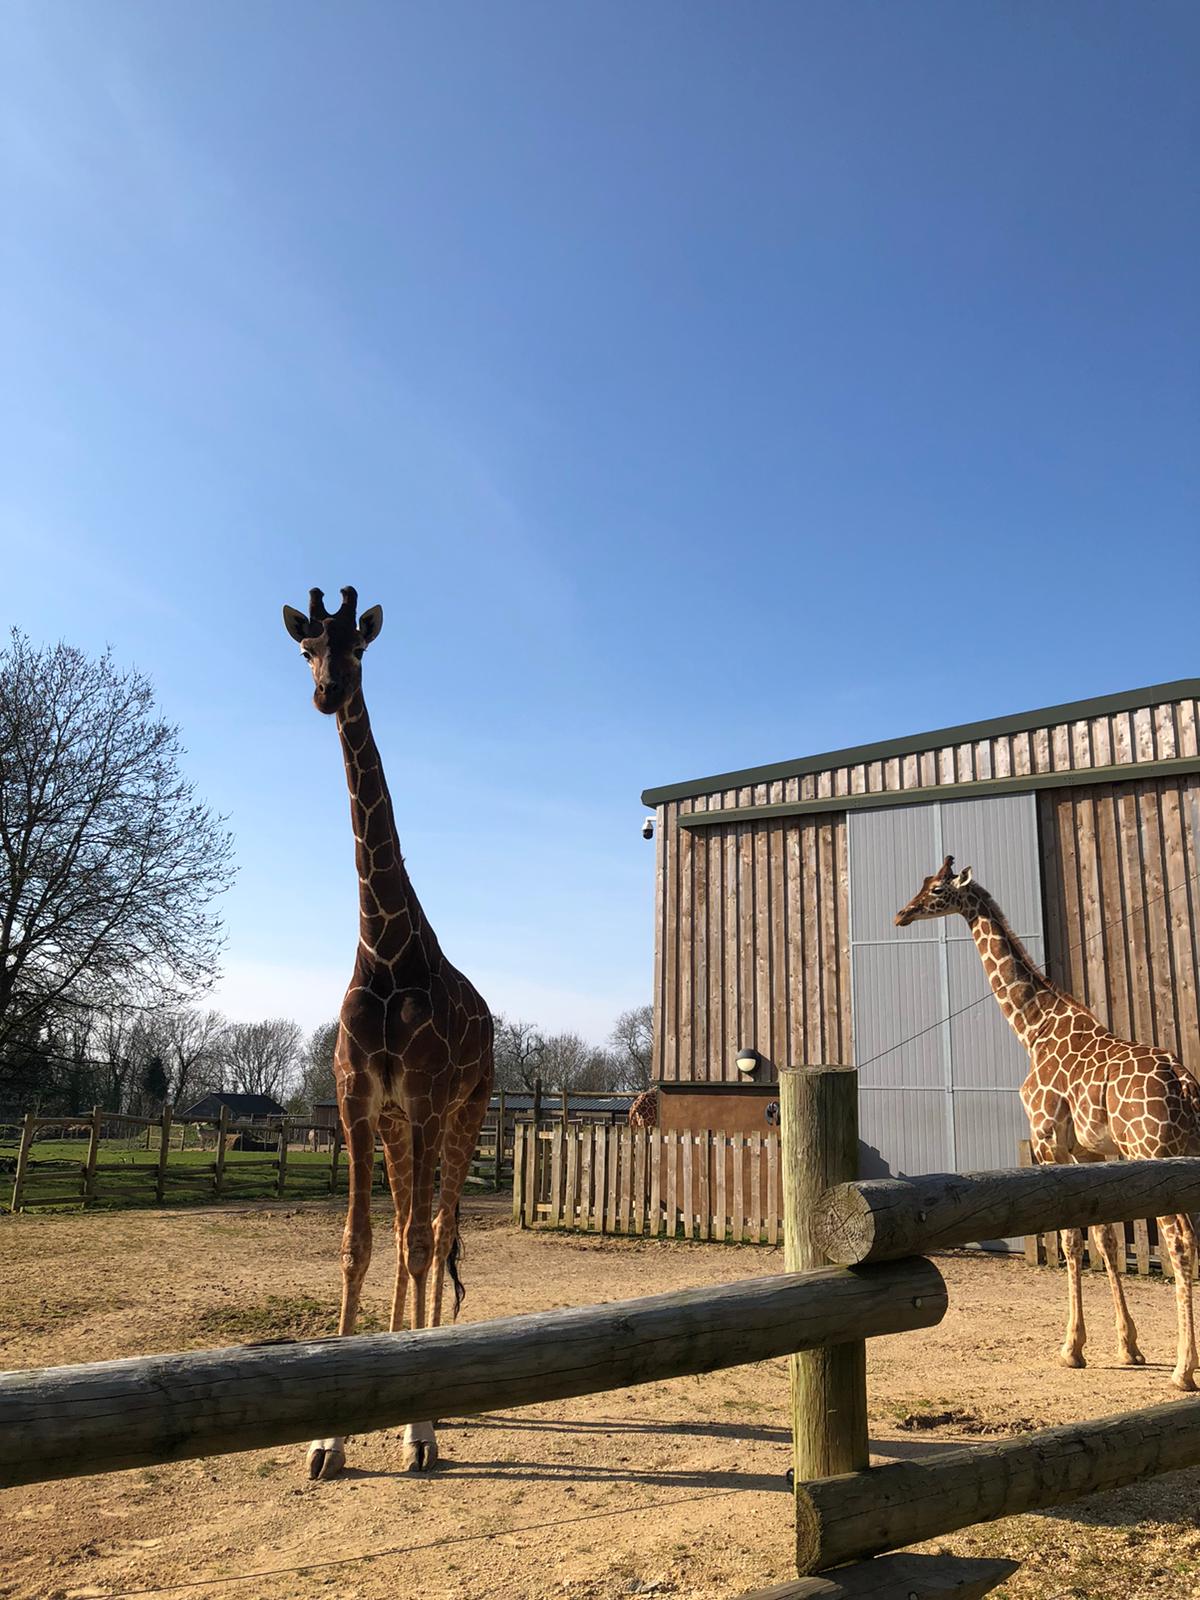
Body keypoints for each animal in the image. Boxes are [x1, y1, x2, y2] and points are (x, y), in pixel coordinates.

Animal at [896, 857, 1196, 1395]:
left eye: (936, 890)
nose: (901, 914)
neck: (1033, 1027)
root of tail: (1183, 1084)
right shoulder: (1091, 1152)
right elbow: (1105, 1239)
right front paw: (1128, 1347)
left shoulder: (1048, 1138)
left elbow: (1071, 1239)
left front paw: (1072, 1349)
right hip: (1185, 1149)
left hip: (1155, 1151)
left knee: (1180, 1243)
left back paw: (1184, 1372)